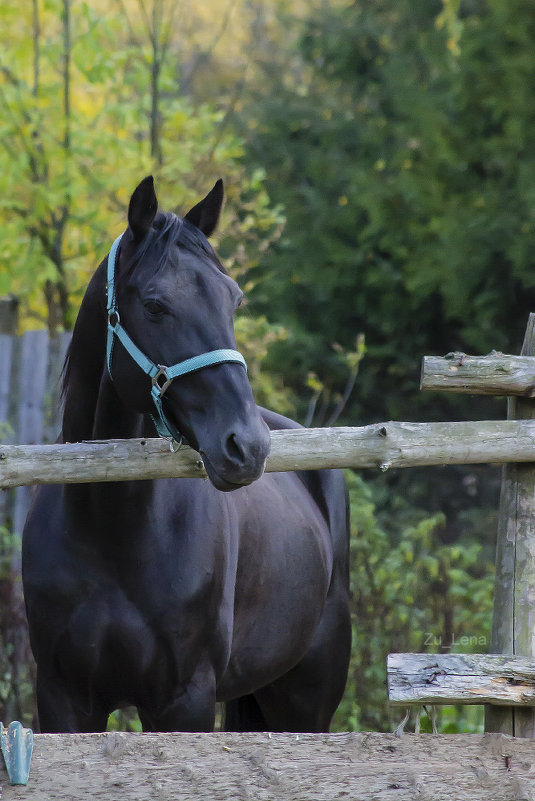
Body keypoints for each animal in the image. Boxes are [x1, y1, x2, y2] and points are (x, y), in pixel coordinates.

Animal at [23, 177, 354, 732]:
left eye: (234, 300)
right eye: (156, 305)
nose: (247, 445)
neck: (109, 526)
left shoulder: (184, 701)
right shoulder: (63, 699)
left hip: (304, 701)